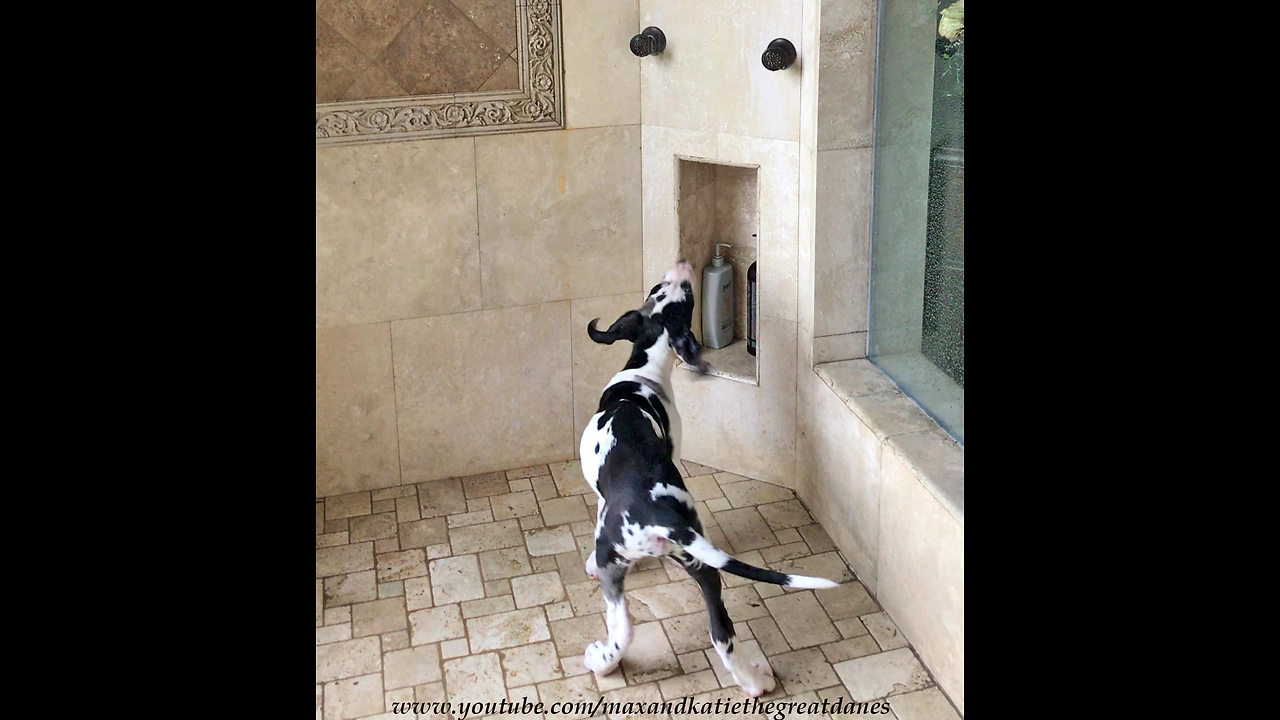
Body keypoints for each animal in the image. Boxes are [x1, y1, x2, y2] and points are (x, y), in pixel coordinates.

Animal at [581, 260, 839, 691]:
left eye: (684, 296)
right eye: (660, 290)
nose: (683, 267)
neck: (643, 376)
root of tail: (661, 518)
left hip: (613, 561)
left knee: (625, 627)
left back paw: (601, 660)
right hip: (702, 566)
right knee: (721, 632)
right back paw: (753, 681)